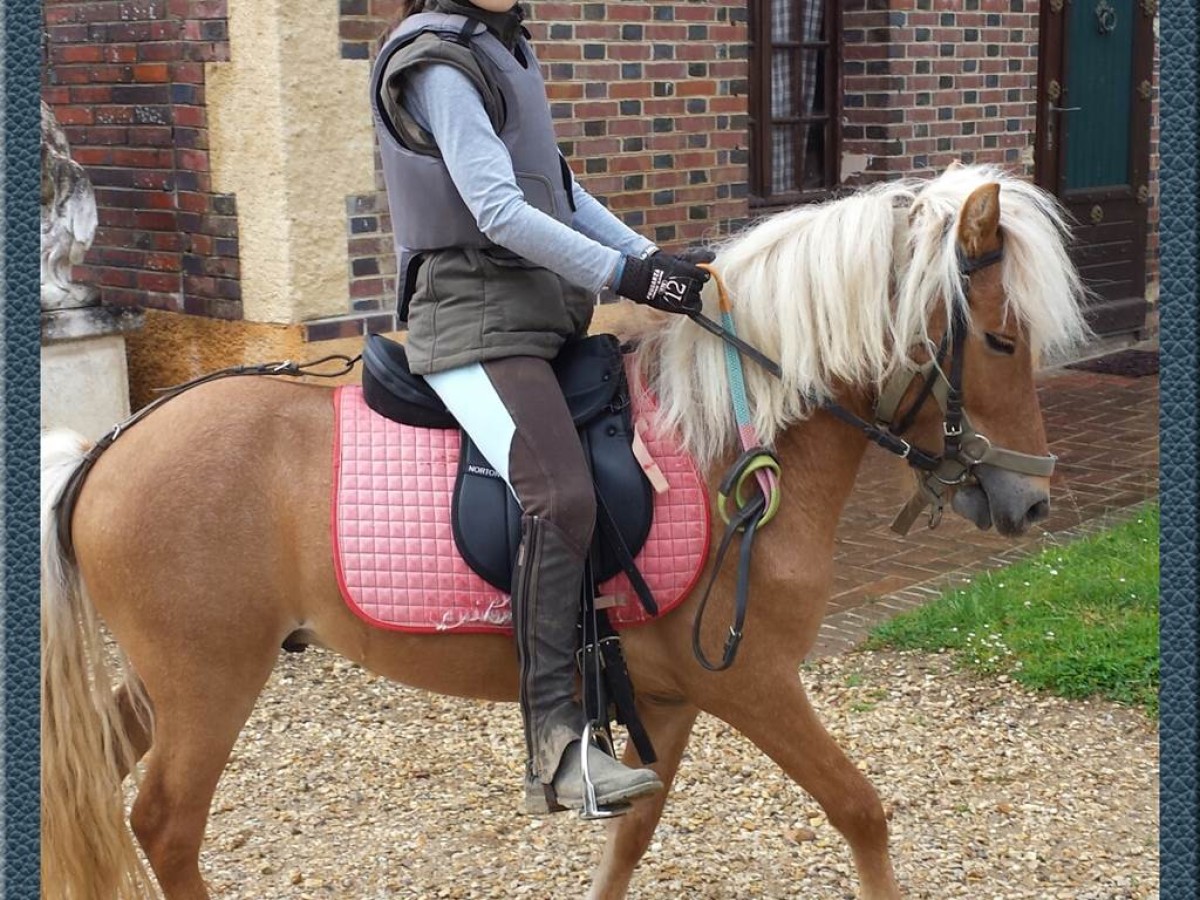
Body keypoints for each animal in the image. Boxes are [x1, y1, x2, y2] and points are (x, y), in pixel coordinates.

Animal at [41, 164, 1088, 900]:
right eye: (1001, 339)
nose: (1031, 502)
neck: (731, 445)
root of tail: (111, 446)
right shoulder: (754, 684)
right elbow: (860, 809)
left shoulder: (670, 700)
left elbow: (629, 842)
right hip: (211, 681)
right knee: (165, 825)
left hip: (171, 682)